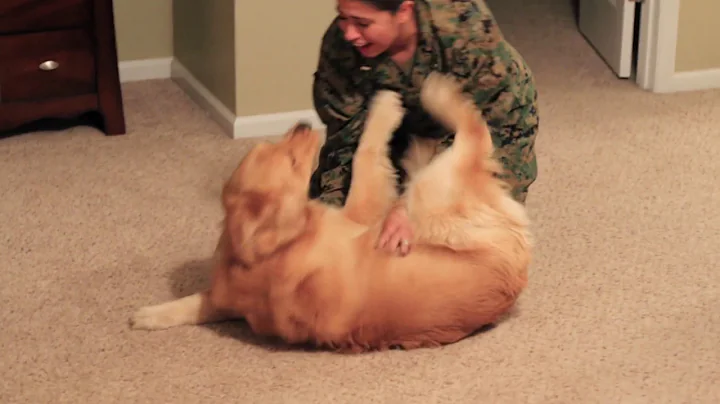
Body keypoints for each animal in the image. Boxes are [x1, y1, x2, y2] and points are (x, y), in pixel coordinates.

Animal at [132, 73, 532, 354]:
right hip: (435, 194)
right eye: (292, 162)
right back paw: (436, 96)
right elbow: (365, 154)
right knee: (472, 131)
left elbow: (193, 303)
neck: (270, 248)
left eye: (274, 147)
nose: (303, 125)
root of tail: (516, 271)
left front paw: (148, 315)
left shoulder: (227, 297)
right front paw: (385, 107)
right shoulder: (359, 212)